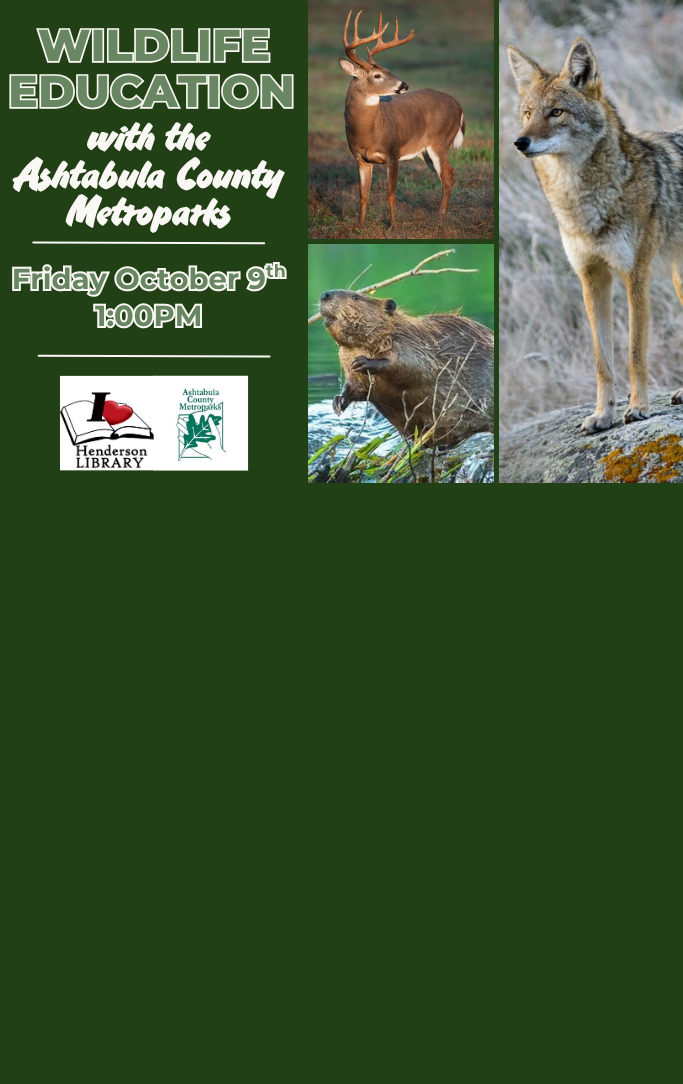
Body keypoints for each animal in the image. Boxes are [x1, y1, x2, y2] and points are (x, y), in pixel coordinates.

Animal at [339, 10, 466, 229]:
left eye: (388, 70)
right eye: (378, 75)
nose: (404, 85)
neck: (369, 132)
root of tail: (459, 107)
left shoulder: (393, 151)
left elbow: (390, 194)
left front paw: (393, 225)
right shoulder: (360, 158)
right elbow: (363, 195)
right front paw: (360, 226)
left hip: (440, 141)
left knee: (447, 176)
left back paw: (440, 217)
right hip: (425, 152)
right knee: (451, 172)